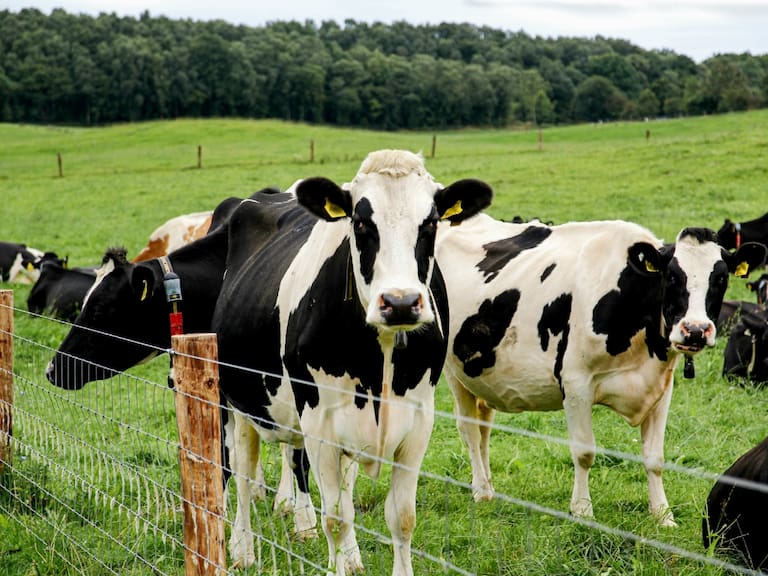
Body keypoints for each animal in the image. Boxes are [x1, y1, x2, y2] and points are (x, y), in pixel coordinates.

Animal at [213, 149, 492, 575]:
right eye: (360, 222)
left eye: (429, 223)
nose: (399, 302)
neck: (381, 357)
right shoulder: (319, 423)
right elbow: (335, 518)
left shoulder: (419, 422)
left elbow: (401, 517)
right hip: (235, 399)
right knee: (242, 473)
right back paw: (243, 549)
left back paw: (348, 556)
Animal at [434, 215, 766, 528]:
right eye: (672, 276)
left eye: (720, 278)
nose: (695, 330)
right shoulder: (576, 383)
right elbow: (584, 452)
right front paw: (582, 510)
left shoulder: (661, 386)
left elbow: (655, 457)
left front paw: (662, 515)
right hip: (454, 371)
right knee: (469, 429)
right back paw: (481, 490)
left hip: (481, 375)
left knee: (484, 428)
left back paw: (489, 486)